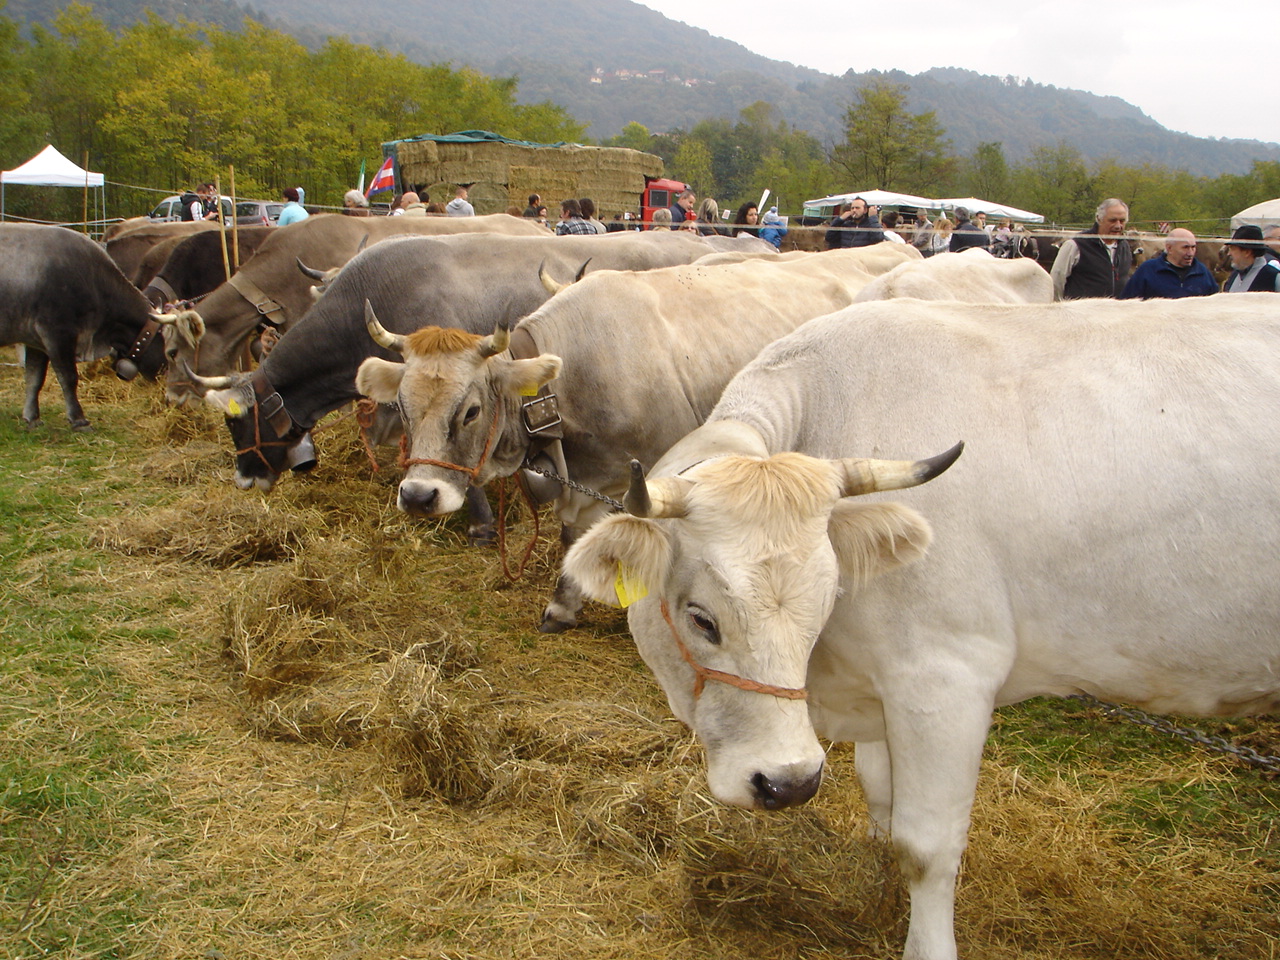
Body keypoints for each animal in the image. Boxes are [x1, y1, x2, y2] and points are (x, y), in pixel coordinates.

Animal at [0, 225, 170, 428]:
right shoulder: (57, 333)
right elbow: (69, 377)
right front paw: (78, 419)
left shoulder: (34, 339)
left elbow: (34, 378)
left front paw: (32, 418)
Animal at [353, 244, 921, 630]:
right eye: (403, 405)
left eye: (471, 411)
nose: (418, 496)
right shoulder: (585, 481)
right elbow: (573, 538)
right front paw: (562, 605)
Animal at [561, 294, 1280, 960]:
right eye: (701, 618)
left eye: (824, 604)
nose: (788, 783)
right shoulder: (882, 685)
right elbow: (880, 795)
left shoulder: (946, 677)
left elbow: (927, 846)